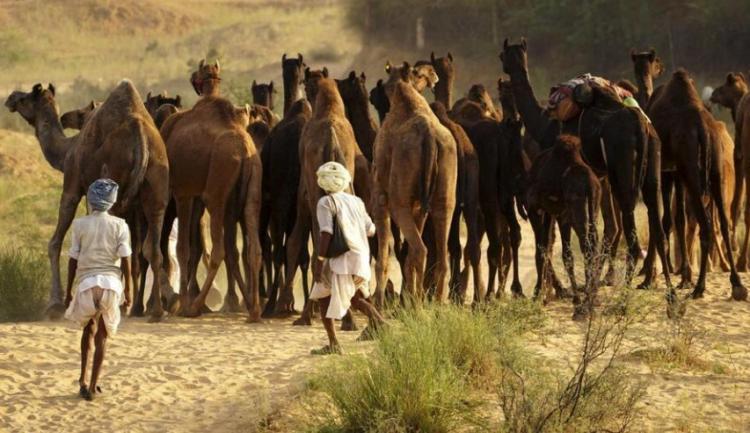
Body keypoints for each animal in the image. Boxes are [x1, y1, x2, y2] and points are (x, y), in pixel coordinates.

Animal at [4, 82, 170, 320]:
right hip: (157, 187)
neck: (67, 150)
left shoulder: (72, 186)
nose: (10, 97)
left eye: (26, 97)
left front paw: (55, 304)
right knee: (151, 248)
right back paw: (154, 310)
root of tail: (140, 134)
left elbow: (56, 243)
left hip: (116, 187)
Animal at [159, 60, 264, 318]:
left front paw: (182, 303)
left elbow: (183, 248)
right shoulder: (197, 195)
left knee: (218, 250)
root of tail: (244, 152)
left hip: (216, 191)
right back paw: (253, 308)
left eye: (199, 72)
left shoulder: (184, 192)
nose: (192, 77)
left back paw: (195, 306)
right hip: (251, 188)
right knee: (251, 248)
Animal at [648, 70, 748, 300]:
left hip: (692, 174)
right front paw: (683, 277)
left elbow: (669, 220)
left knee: (706, 225)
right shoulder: (677, 171)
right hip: (714, 173)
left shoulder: (667, 171)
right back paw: (737, 284)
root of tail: (703, 128)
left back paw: (700, 287)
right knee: (723, 221)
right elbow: (679, 218)